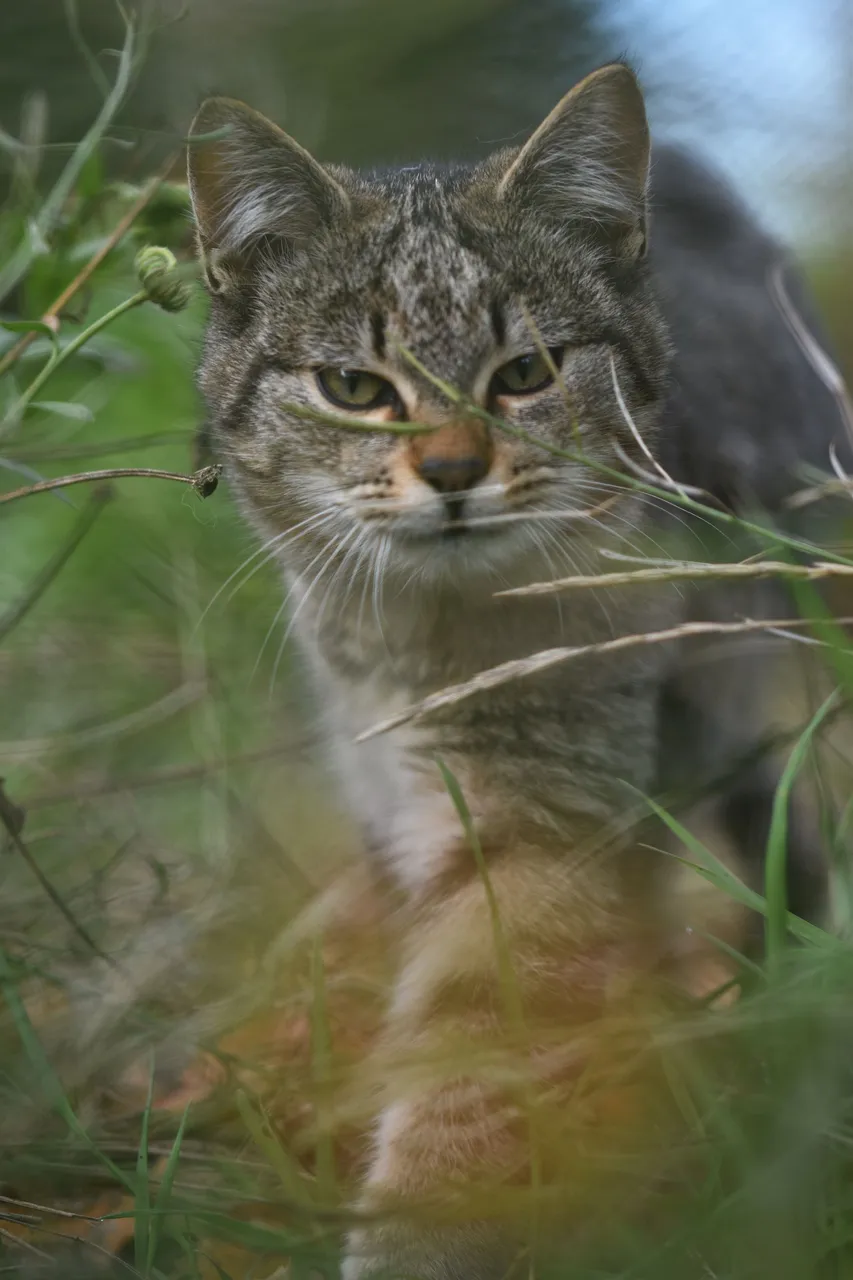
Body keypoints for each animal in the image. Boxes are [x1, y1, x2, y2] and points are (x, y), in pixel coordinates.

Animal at [184, 67, 835, 1280]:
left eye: (525, 373)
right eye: (354, 386)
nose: (451, 471)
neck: (417, 637)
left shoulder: (540, 828)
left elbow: (471, 1071)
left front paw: (425, 1237)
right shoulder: (397, 797)